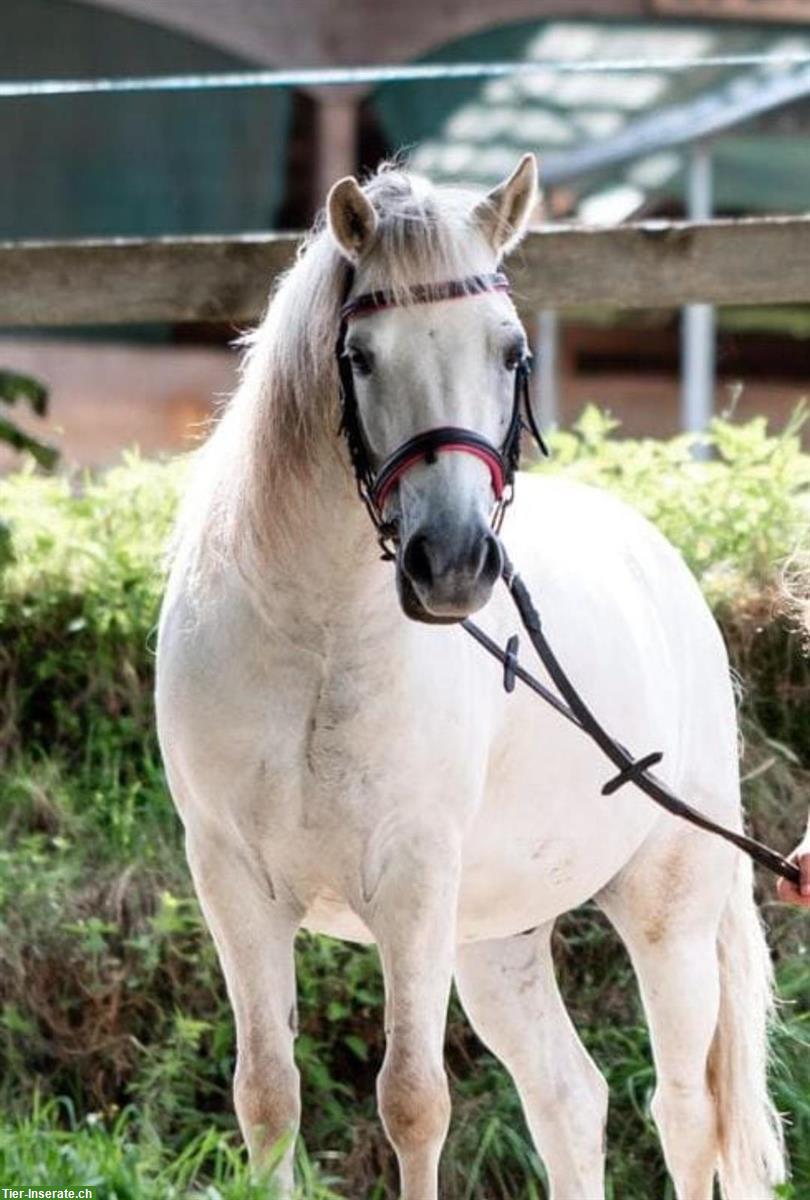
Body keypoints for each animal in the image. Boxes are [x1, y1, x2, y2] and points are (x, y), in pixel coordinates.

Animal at [157, 157, 787, 1200]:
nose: (452, 563)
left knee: (685, 1114)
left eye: (511, 350)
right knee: (571, 1099)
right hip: (497, 939)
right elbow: (268, 1098)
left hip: (670, 914)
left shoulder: (415, 884)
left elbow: (413, 1102)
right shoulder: (234, 885)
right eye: (361, 356)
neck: (317, 641)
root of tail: (664, 568)